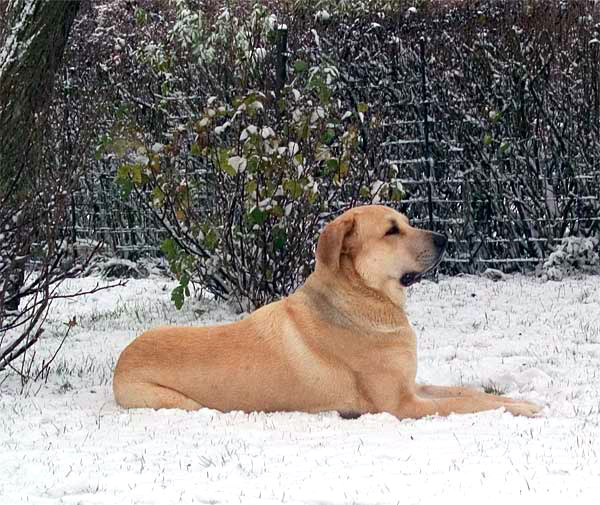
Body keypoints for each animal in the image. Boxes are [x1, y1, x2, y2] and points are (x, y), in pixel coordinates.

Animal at [112, 204, 540, 418]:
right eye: (392, 230)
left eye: (405, 222)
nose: (445, 238)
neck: (362, 298)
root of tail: (122, 358)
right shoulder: (401, 405)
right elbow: (467, 402)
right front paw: (521, 408)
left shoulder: (412, 386)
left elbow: (464, 391)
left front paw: (518, 400)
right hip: (180, 402)